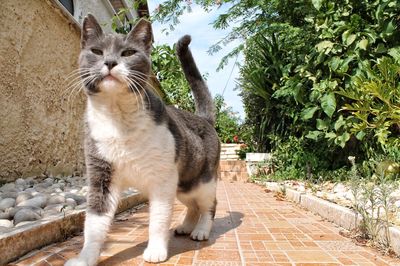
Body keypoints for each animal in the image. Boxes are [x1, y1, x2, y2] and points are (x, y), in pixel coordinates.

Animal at [66, 15, 222, 266]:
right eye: (97, 51)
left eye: (128, 52)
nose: (110, 62)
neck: (118, 119)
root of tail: (202, 118)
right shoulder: (101, 177)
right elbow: (94, 224)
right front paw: (84, 258)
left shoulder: (162, 179)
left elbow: (158, 218)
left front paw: (156, 250)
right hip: (183, 186)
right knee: (193, 206)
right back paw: (186, 226)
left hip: (202, 181)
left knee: (208, 205)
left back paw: (201, 231)